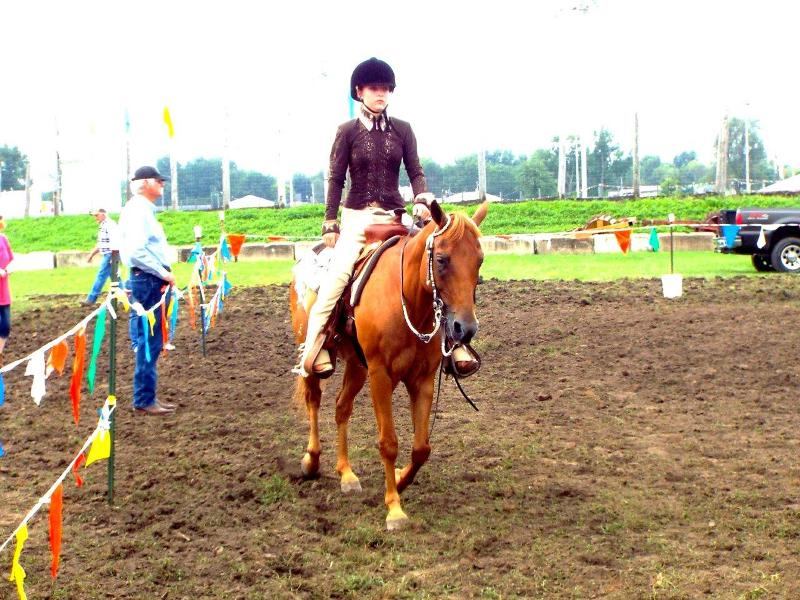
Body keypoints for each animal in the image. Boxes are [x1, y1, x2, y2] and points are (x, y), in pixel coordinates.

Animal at [289, 200, 488, 530]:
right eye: (442, 260)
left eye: (480, 260)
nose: (465, 329)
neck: (408, 299)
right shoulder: (381, 376)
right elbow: (389, 442)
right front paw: (394, 509)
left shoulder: (422, 379)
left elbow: (421, 448)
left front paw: (399, 479)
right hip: (315, 351)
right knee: (313, 399)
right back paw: (311, 460)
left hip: (357, 367)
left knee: (341, 407)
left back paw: (346, 474)